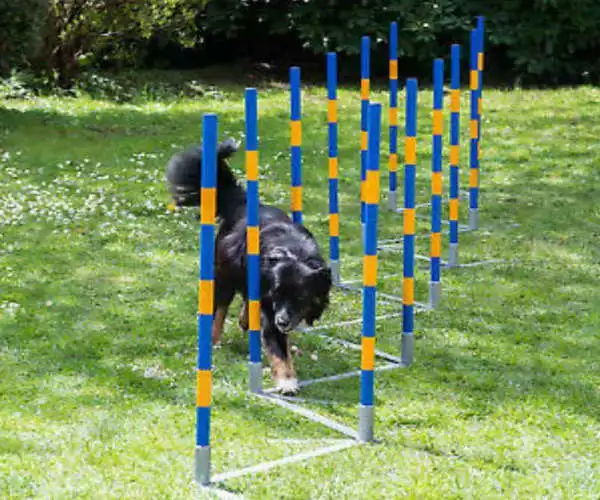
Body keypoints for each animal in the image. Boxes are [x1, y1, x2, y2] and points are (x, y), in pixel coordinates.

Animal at [166, 139, 330, 392]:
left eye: (301, 297)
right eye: (277, 294)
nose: (283, 321)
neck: (295, 252)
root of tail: (241, 203)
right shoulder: (270, 305)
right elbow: (278, 348)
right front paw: (287, 380)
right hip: (224, 272)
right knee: (220, 308)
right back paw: (214, 340)